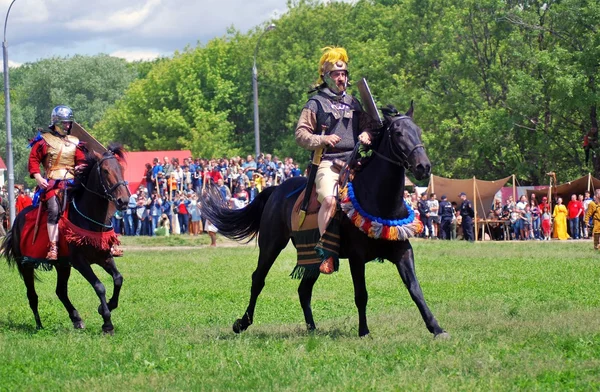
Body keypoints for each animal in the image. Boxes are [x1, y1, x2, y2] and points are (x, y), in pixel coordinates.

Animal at [2, 144, 129, 334]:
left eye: (120, 169)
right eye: (106, 170)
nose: (124, 200)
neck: (89, 218)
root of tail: (16, 221)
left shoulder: (103, 257)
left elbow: (118, 279)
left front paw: (107, 307)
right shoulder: (79, 261)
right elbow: (99, 286)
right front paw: (107, 322)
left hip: (62, 265)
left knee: (60, 291)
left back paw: (76, 319)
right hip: (26, 265)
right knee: (32, 295)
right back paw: (39, 325)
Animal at [202, 104, 446, 336]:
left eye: (418, 131)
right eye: (397, 133)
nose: (424, 167)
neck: (377, 199)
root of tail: (276, 190)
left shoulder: (402, 251)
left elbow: (415, 289)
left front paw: (436, 328)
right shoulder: (357, 257)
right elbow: (361, 295)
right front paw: (364, 331)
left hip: (311, 255)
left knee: (303, 290)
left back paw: (312, 328)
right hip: (271, 245)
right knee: (258, 279)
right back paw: (242, 323)